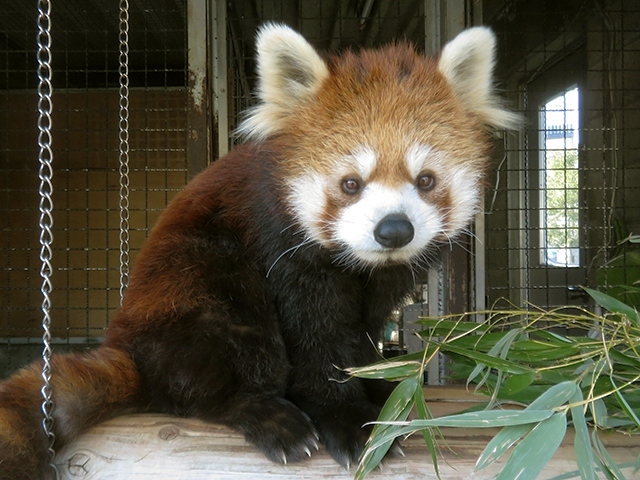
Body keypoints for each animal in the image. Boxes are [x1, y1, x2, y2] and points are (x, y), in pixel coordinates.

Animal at [0, 24, 516, 478]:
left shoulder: (382, 283)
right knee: (221, 343)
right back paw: (259, 411)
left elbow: (362, 329)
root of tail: (130, 350)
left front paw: (374, 384)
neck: (360, 264)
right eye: (350, 184)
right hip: (193, 279)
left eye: (425, 180)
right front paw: (343, 415)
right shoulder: (280, 246)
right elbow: (315, 333)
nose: (393, 229)